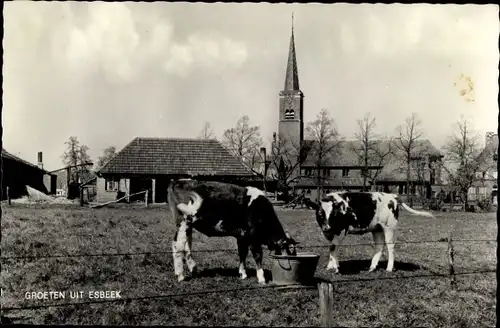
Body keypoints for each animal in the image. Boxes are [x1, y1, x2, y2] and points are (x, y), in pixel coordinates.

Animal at [167, 178, 296, 284]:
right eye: (289, 249)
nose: (290, 264)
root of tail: (177, 181)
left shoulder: (242, 236)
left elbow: (242, 253)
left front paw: (243, 274)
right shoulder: (253, 237)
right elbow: (258, 255)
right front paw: (261, 278)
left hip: (186, 226)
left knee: (183, 246)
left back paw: (192, 270)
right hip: (184, 222)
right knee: (178, 247)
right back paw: (180, 276)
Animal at [304, 192, 434, 274]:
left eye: (333, 214)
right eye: (320, 213)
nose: (326, 227)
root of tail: (392, 196)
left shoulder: (341, 230)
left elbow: (333, 247)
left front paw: (335, 268)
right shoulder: (329, 233)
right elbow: (331, 247)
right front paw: (330, 267)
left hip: (389, 227)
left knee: (390, 247)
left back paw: (389, 269)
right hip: (377, 229)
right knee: (379, 246)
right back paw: (372, 267)